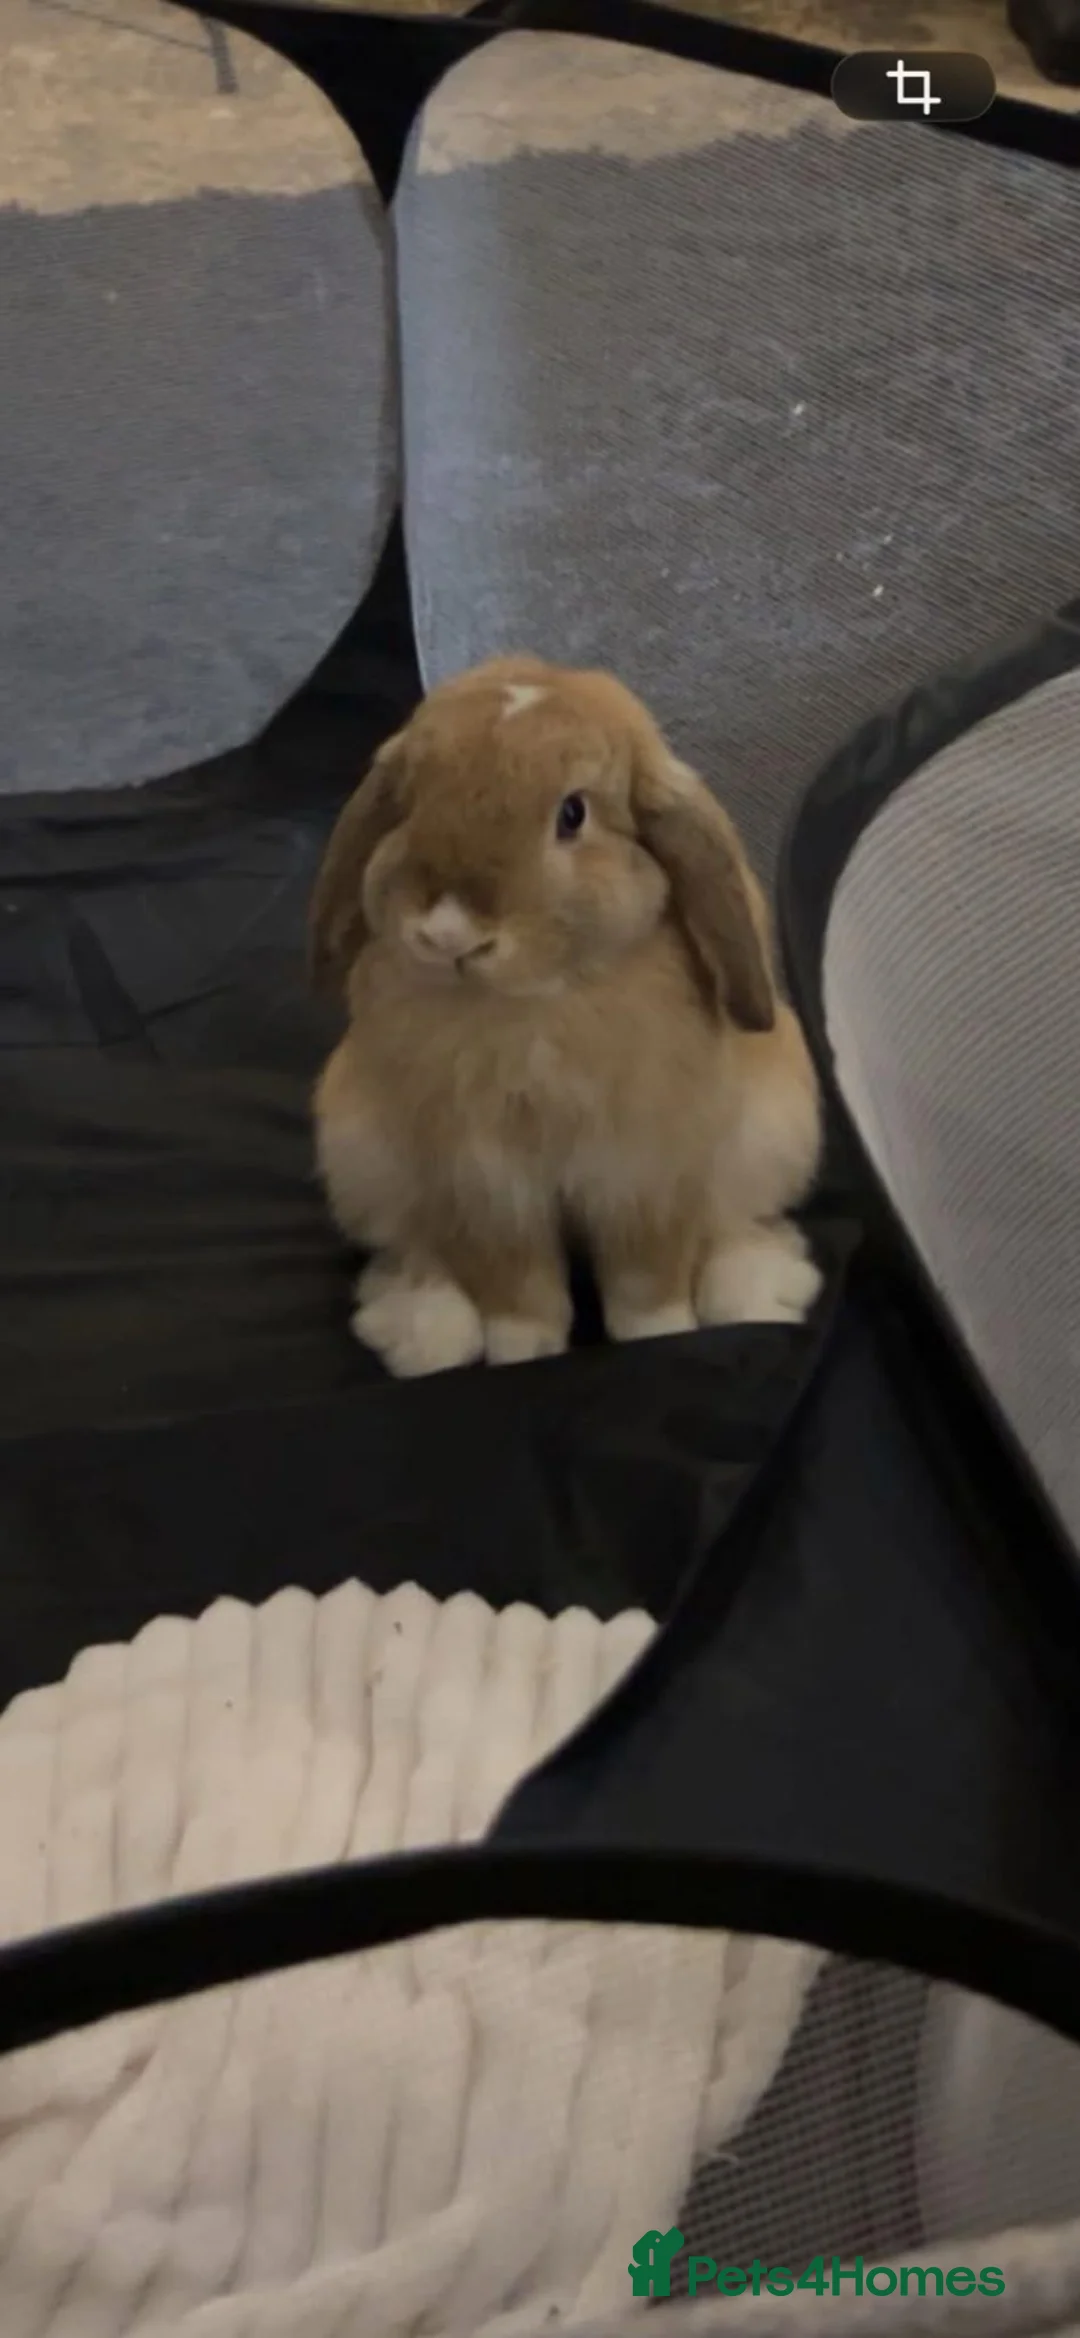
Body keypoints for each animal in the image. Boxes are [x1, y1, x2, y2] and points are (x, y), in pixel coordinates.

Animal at [310, 654, 823, 1378]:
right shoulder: (482, 1187)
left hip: (777, 1129)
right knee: (416, 1251)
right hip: (357, 1152)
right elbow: (518, 1294)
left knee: (736, 1223)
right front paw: (520, 1356)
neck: (538, 1005)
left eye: (573, 813)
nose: (447, 934)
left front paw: (663, 1341)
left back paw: (757, 1294)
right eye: (409, 804)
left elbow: (646, 1287)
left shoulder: (646, 1176)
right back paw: (424, 1336)